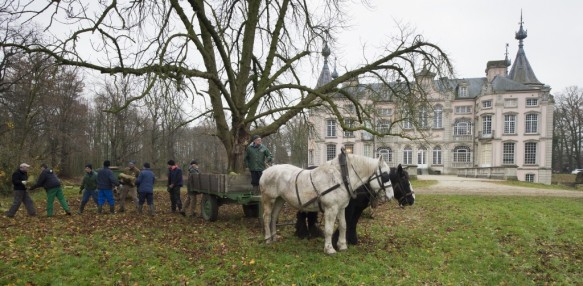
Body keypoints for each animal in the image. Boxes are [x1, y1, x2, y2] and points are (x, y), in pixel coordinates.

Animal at [258, 153, 392, 254]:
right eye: (385, 175)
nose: (390, 196)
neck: (341, 177)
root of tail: (265, 171)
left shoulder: (341, 208)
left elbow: (343, 225)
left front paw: (342, 245)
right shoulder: (331, 209)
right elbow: (328, 229)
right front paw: (329, 249)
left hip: (280, 199)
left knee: (274, 217)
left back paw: (274, 237)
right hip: (268, 199)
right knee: (267, 217)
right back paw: (268, 239)